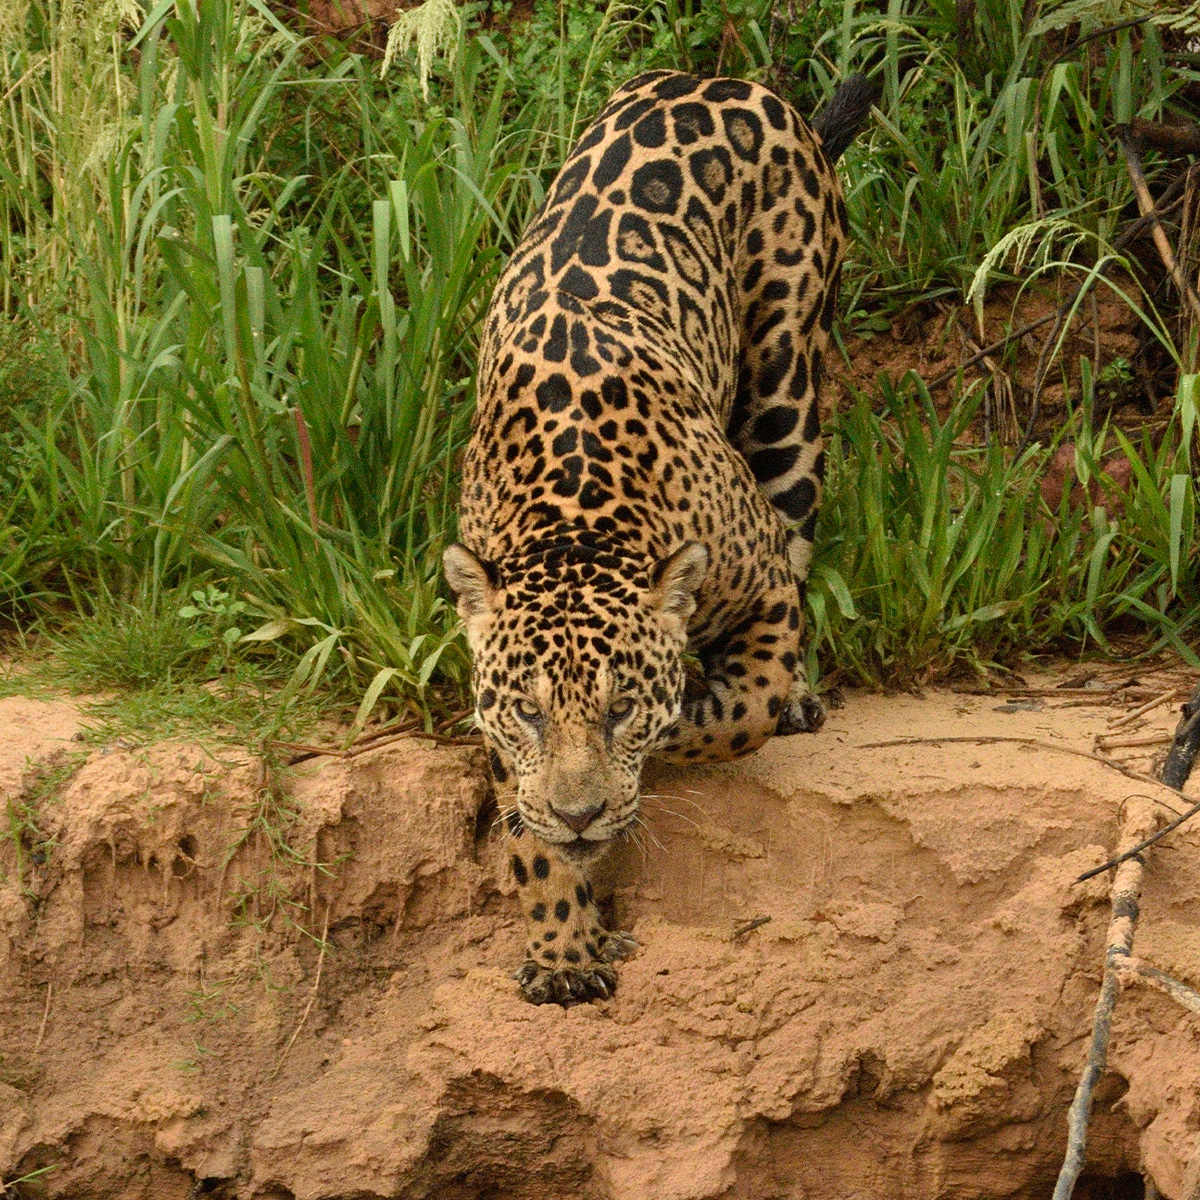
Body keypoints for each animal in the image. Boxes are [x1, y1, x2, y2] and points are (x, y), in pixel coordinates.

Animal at [443, 68, 874, 1005]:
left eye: (619, 709)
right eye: (526, 711)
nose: (580, 815)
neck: (573, 522)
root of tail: (723, 79)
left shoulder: (761, 581)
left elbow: (742, 709)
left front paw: (681, 724)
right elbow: (526, 833)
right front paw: (564, 952)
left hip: (787, 377)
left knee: (800, 521)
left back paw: (800, 696)